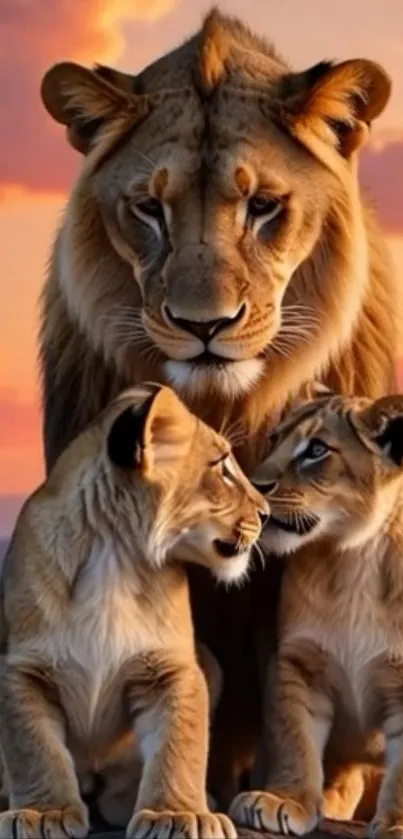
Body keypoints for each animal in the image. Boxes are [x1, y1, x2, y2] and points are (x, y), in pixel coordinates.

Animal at [0, 383, 267, 839]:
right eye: (221, 468)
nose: (266, 513)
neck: (115, 555)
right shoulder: (22, 670)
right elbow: (35, 749)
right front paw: (45, 812)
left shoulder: (174, 669)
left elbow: (179, 743)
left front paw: (177, 814)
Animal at [231, 387, 403, 837]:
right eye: (273, 439)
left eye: (317, 450)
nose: (254, 487)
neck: (353, 558)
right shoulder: (297, 663)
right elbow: (296, 740)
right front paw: (283, 801)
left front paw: (395, 823)